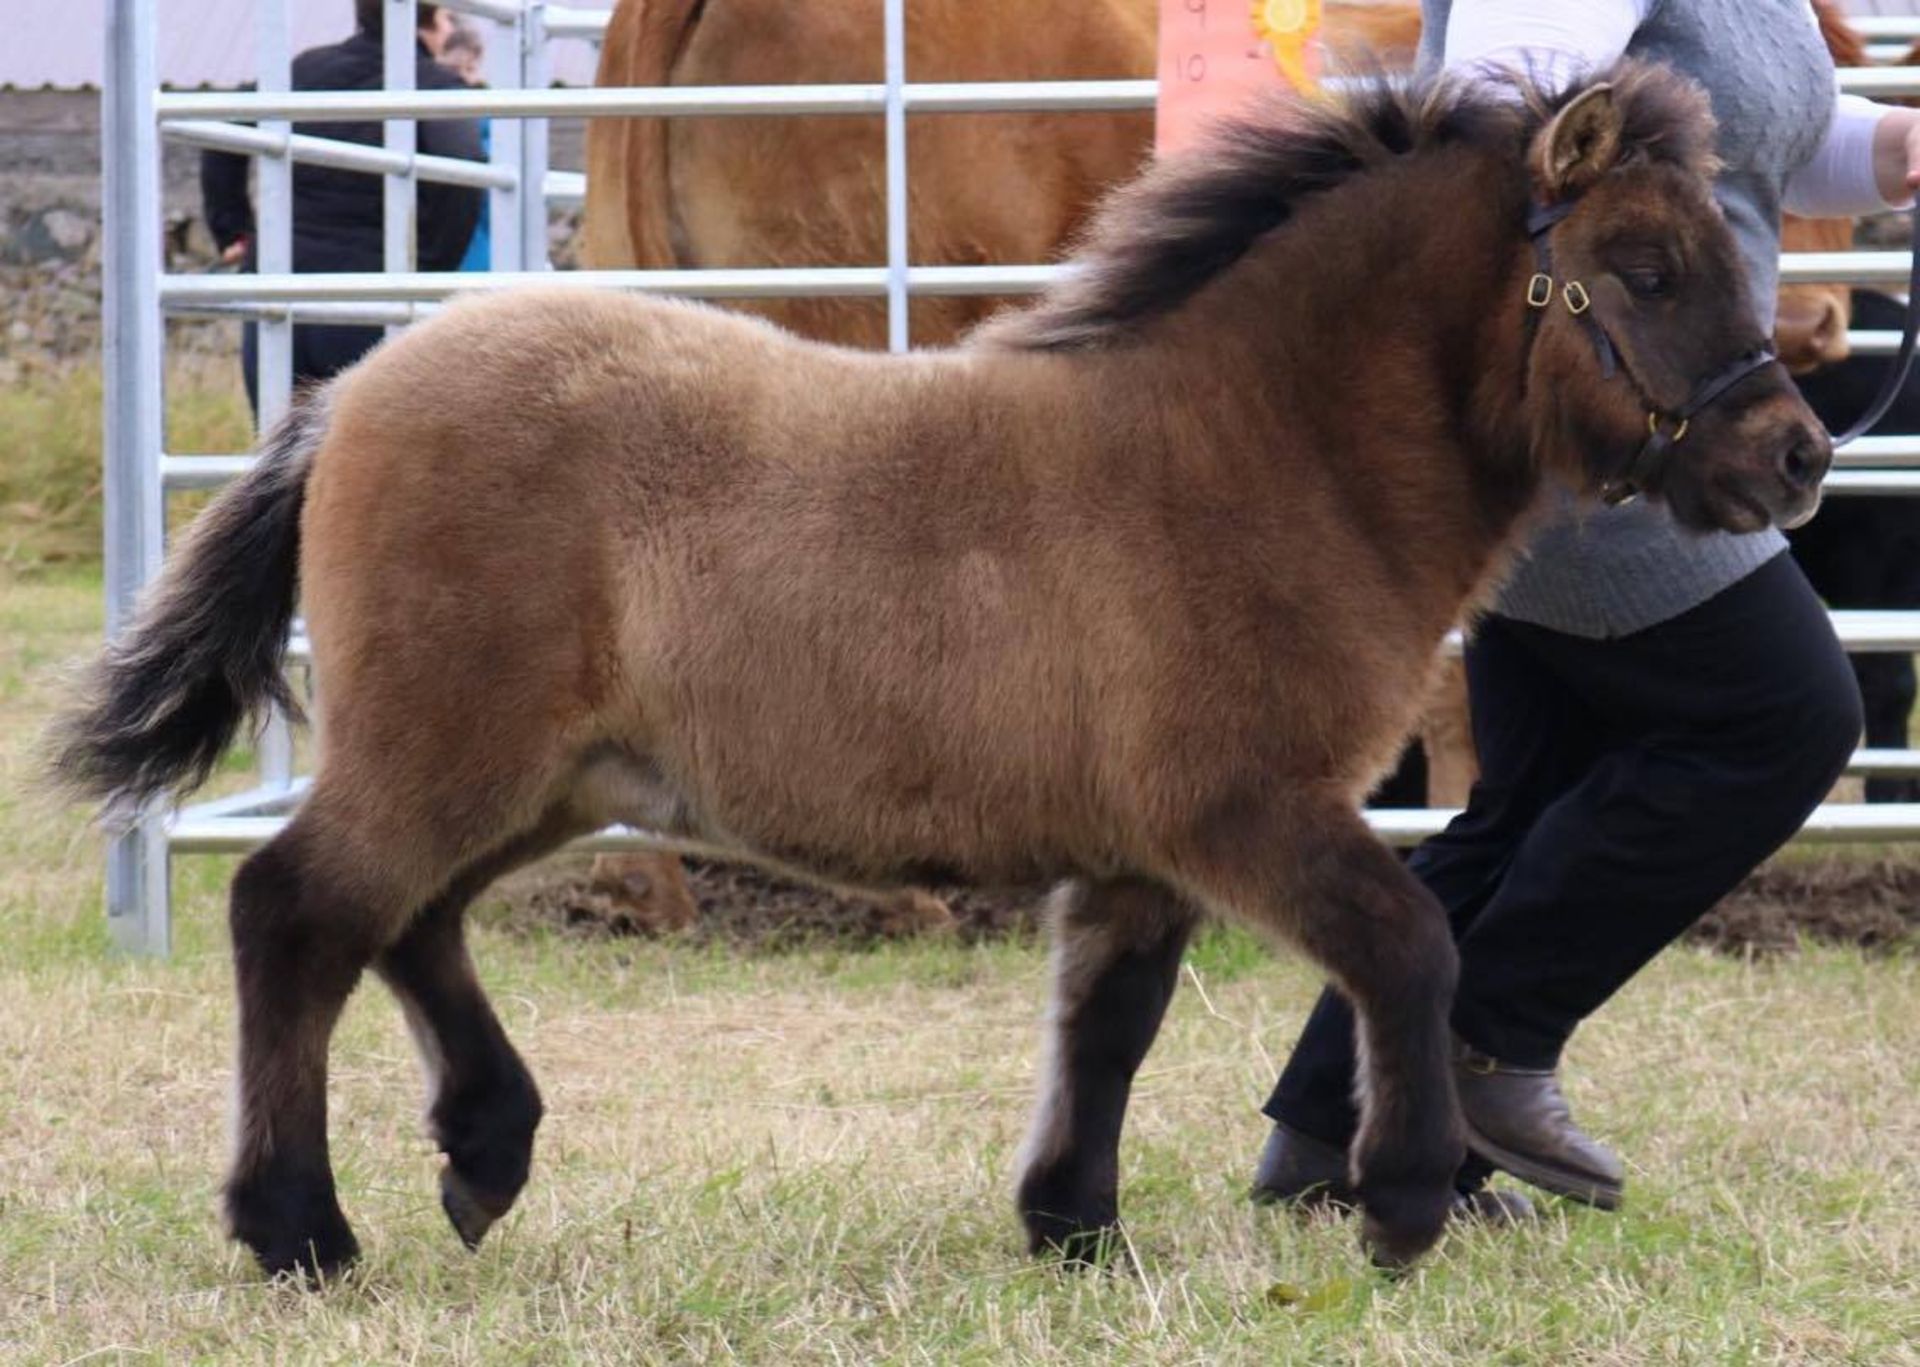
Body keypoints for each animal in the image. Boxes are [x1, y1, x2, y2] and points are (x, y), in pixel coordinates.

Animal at [52, 64, 1827, 1282]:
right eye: (1645, 266)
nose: (1796, 456)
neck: (1253, 454)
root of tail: (351, 394)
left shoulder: (1139, 853)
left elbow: (1106, 1024)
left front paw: (1075, 1228)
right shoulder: (1248, 808)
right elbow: (1410, 944)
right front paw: (1397, 1204)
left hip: (544, 775)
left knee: (406, 920)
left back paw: (483, 1156)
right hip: (452, 749)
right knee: (297, 910)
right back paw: (301, 1228)